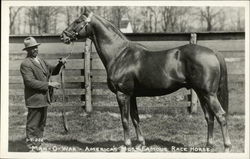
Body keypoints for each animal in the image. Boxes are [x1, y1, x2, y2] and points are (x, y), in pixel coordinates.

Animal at [61, 10, 232, 153]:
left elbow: (124, 120)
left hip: (209, 94)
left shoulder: (122, 94)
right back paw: (208, 146)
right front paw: (141, 143)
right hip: (201, 93)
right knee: (209, 117)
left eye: (77, 21)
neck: (120, 55)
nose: (63, 36)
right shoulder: (132, 95)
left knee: (221, 115)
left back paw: (227, 147)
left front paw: (126, 145)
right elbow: (135, 118)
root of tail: (213, 52)